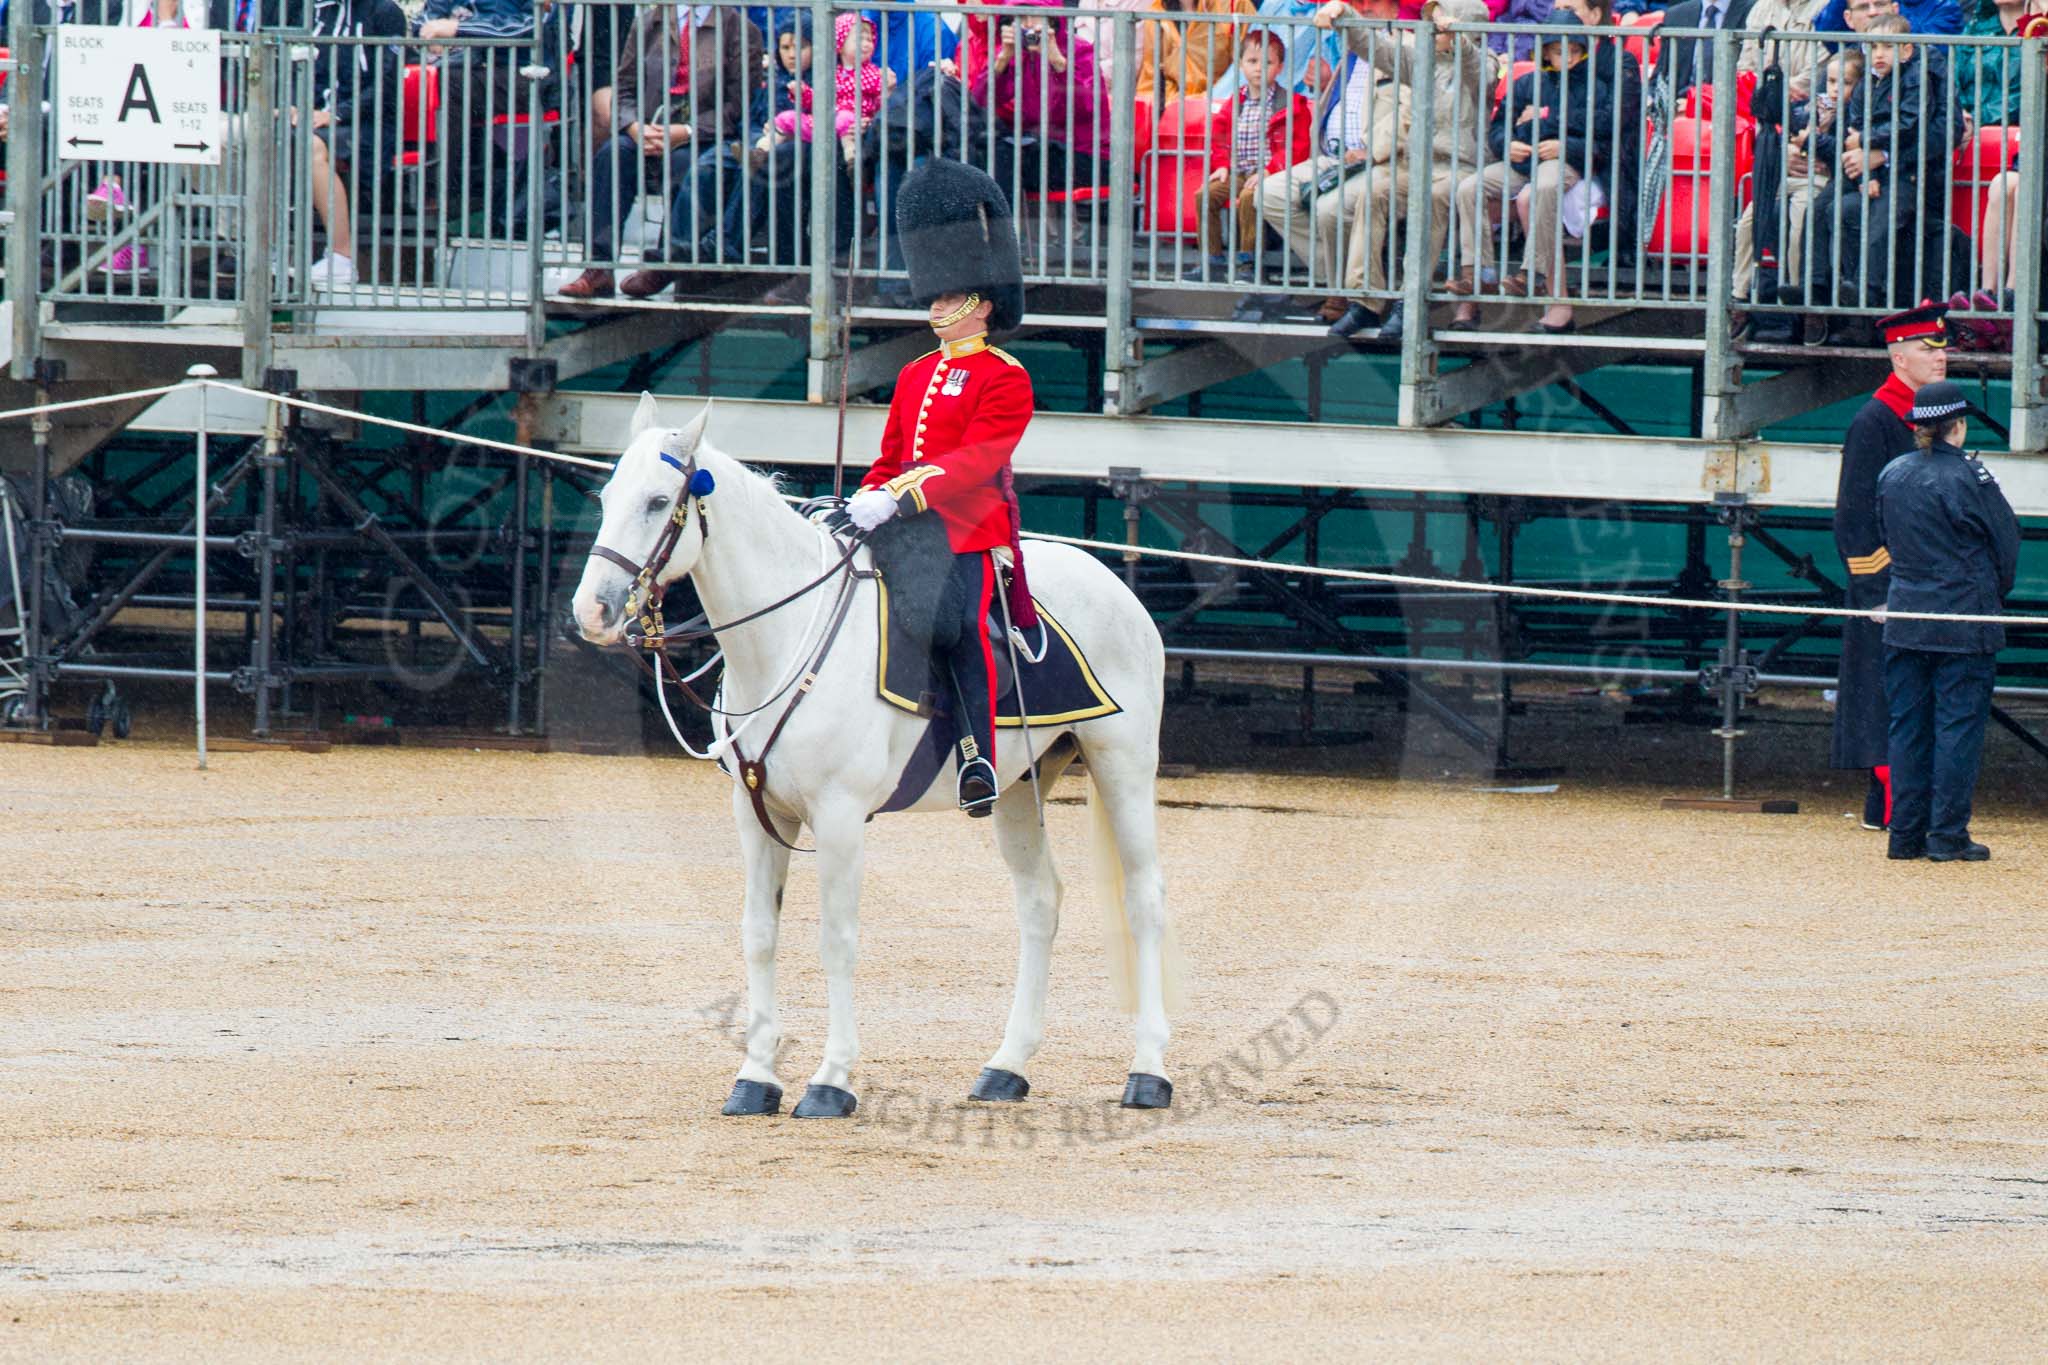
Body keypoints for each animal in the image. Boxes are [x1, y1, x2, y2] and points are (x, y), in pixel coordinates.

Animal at [570, 394, 1181, 1119]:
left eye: (660, 501)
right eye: (607, 496)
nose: (592, 610)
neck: (786, 637)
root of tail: (1112, 583)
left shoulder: (837, 816)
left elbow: (837, 940)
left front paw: (831, 1080)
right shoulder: (757, 812)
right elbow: (759, 934)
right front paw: (755, 1076)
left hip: (1123, 763)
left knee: (1144, 898)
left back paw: (1148, 1070)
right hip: (1018, 787)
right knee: (1039, 903)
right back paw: (1006, 1066)